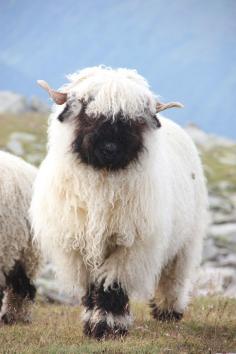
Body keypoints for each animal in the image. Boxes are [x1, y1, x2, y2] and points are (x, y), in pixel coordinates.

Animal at [30, 66, 208, 340]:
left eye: (132, 119)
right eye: (87, 112)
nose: (110, 147)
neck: (103, 180)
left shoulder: (128, 245)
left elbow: (111, 285)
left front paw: (108, 327)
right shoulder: (80, 247)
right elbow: (92, 287)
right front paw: (92, 324)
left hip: (186, 241)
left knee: (173, 276)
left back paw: (168, 311)